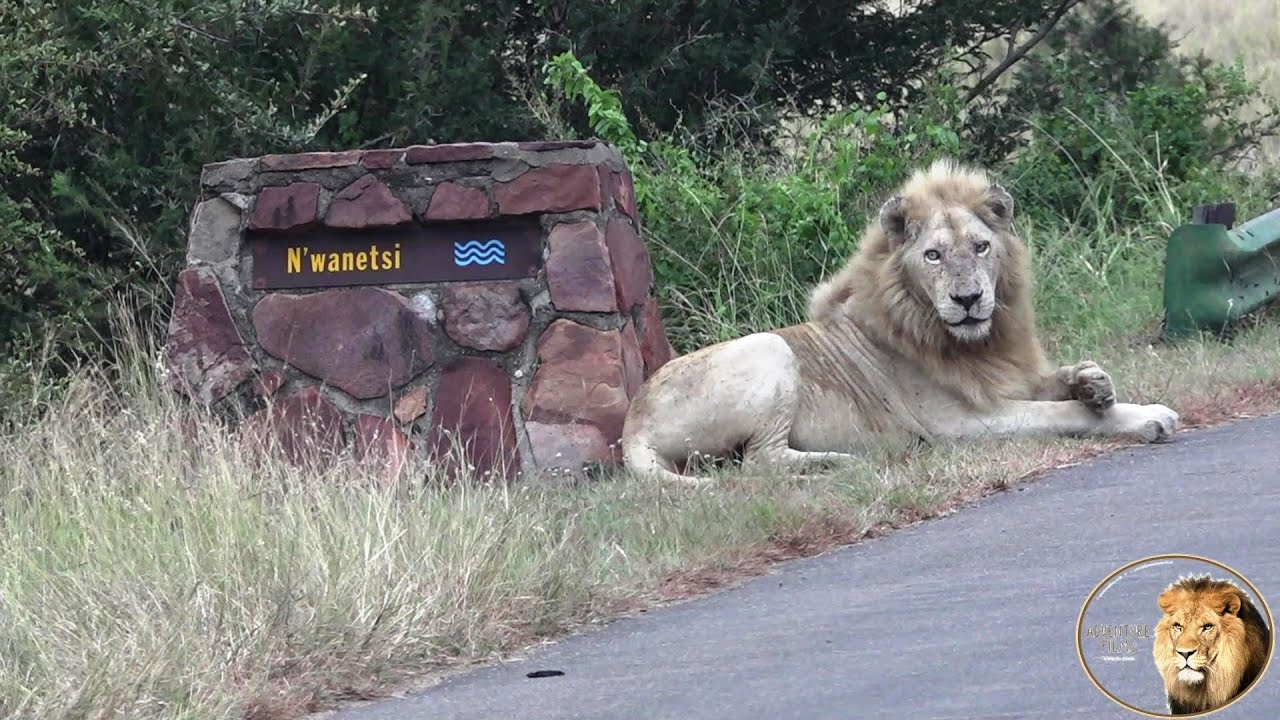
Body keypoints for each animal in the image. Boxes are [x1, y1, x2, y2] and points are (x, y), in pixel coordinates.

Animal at [619, 158, 1177, 481]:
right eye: (933, 255)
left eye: (981, 247)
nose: (969, 298)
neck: (976, 341)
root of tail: (631, 428)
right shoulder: (963, 423)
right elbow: (1064, 415)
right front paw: (1147, 415)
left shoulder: (1005, 378)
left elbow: (1059, 384)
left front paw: (1094, 383)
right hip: (769, 349)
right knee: (760, 464)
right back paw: (845, 462)